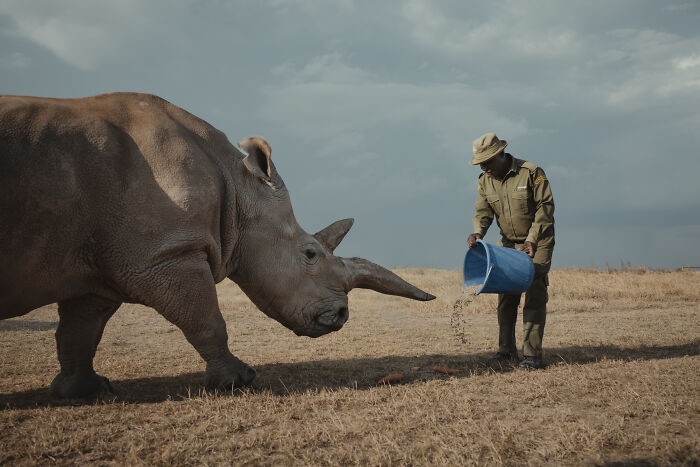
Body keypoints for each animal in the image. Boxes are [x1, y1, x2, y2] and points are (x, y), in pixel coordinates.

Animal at [0, 93, 435, 398]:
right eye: (310, 254)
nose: (341, 316)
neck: (240, 191)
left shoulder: (101, 263)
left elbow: (81, 330)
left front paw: (85, 391)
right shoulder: (165, 253)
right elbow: (206, 319)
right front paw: (239, 380)